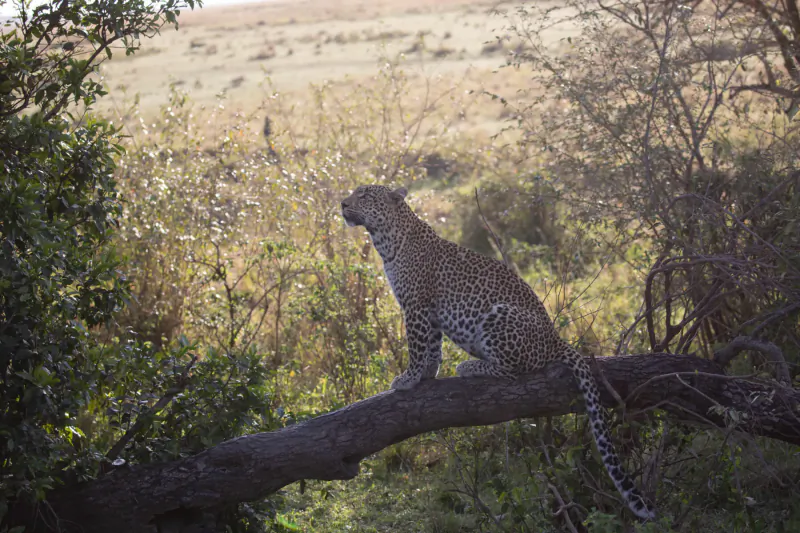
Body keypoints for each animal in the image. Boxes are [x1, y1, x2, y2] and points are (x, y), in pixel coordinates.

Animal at [340, 184, 656, 520]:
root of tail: (555, 338)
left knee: (512, 370)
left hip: (499, 315)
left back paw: (469, 367)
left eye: (365, 195)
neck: (386, 239)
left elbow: (416, 346)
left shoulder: (416, 306)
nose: (343, 203)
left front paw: (408, 379)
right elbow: (433, 347)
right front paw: (426, 374)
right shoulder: (430, 312)